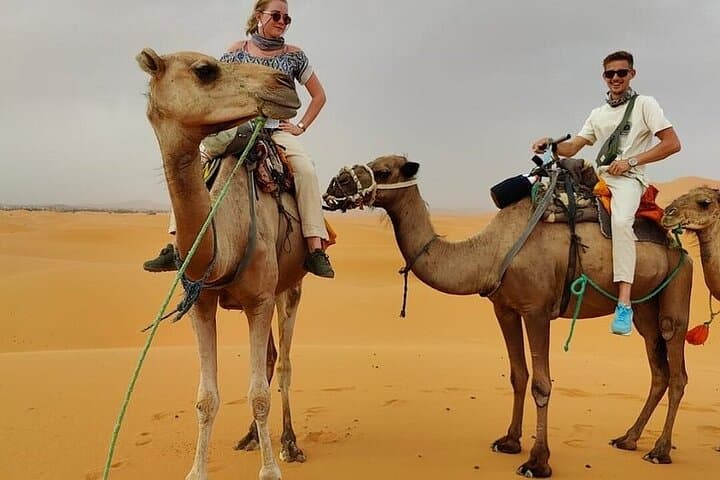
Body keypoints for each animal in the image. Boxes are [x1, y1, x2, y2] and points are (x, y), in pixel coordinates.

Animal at [137, 48, 309, 480]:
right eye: (205, 70)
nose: (285, 84)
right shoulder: (200, 303)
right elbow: (206, 398)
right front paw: (197, 471)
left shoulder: (260, 299)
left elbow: (260, 394)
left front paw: (270, 470)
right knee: (270, 358)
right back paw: (250, 438)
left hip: (290, 286)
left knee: (284, 363)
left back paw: (289, 443)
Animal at [324, 155, 693, 477]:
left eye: (383, 171)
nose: (334, 184)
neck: (491, 252)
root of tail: (678, 246)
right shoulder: (504, 308)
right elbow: (518, 375)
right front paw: (510, 441)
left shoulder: (537, 310)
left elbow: (542, 383)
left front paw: (538, 461)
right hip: (645, 307)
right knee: (658, 370)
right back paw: (628, 439)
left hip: (677, 294)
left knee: (677, 370)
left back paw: (660, 451)